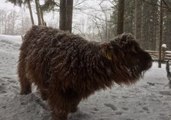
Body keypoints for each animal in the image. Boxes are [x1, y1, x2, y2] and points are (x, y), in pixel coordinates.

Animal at [18, 25, 152, 119]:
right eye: (131, 51)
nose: (150, 59)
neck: (84, 62)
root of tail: (36, 27)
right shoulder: (59, 89)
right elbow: (60, 110)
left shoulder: (78, 91)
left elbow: (73, 105)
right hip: (23, 65)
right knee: (24, 80)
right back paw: (25, 94)